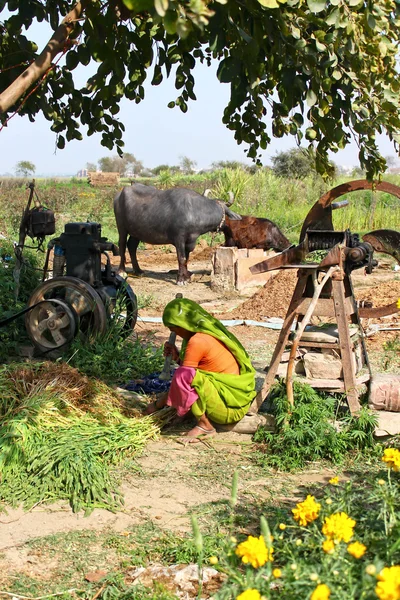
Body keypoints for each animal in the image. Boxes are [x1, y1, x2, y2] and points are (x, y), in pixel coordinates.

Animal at [113, 184, 241, 284]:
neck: (195, 211)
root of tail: (119, 195)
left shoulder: (189, 241)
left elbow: (187, 257)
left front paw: (186, 276)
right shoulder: (179, 238)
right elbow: (181, 257)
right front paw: (180, 279)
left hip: (136, 232)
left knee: (132, 246)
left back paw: (138, 271)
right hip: (122, 228)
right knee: (122, 245)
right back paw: (122, 271)